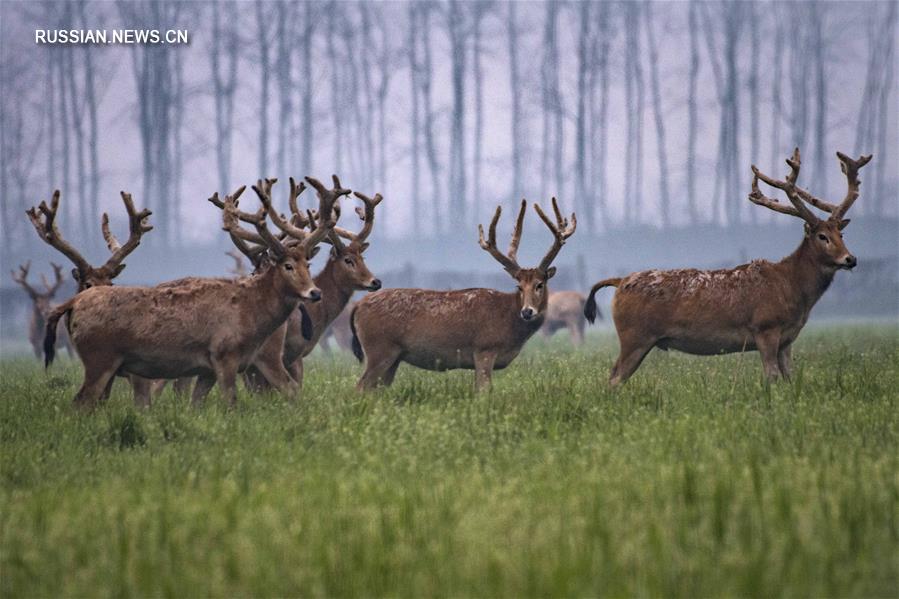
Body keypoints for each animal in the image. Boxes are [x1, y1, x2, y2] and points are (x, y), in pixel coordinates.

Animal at [39, 178, 342, 410]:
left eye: (308, 264)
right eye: (288, 265)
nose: (315, 292)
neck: (248, 312)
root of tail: (72, 302)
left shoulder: (207, 368)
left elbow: (196, 405)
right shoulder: (224, 354)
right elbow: (231, 404)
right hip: (99, 356)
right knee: (80, 402)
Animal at [352, 199, 576, 392]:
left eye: (540, 284)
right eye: (519, 286)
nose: (527, 311)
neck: (508, 320)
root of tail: (357, 306)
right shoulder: (484, 349)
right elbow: (484, 391)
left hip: (394, 356)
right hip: (379, 348)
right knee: (361, 387)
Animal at [584, 149, 872, 384]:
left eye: (841, 234)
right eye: (822, 236)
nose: (850, 259)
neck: (792, 288)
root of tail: (620, 281)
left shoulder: (787, 339)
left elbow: (790, 377)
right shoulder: (765, 327)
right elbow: (771, 377)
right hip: (634, 335)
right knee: (615, 376)